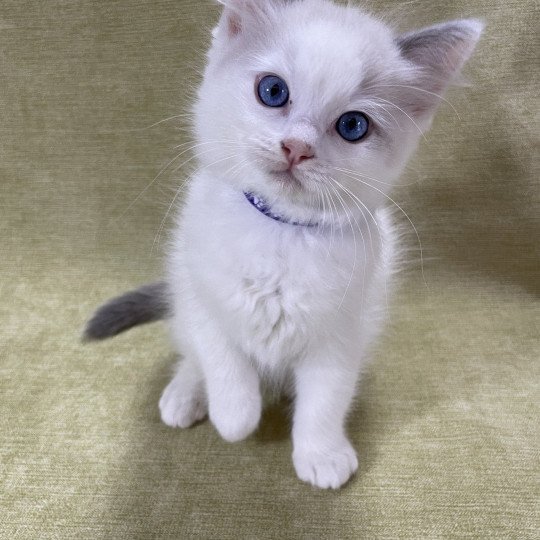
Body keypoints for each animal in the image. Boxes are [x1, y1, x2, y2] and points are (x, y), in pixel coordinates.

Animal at [86, 0, 484, 490]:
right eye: (273, 91)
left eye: (353, 125)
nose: (297, 146)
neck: (280, 232)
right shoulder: (201, 289)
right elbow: (221, 358)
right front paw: (234, 416)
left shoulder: (342, 332)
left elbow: (326, 399)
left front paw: (322, 453)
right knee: (189, 350)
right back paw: (186, 393)